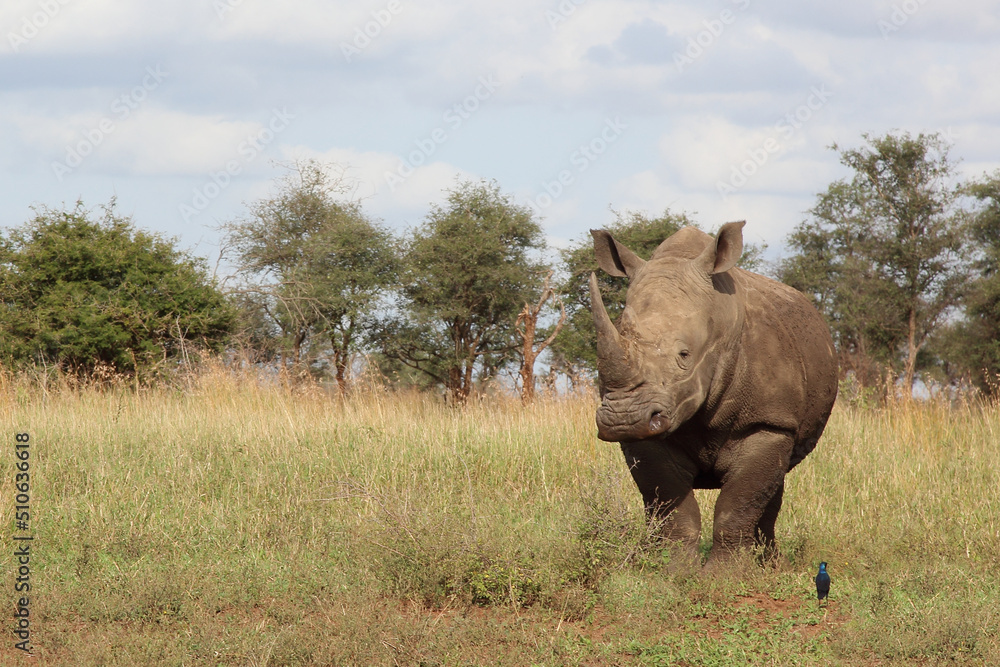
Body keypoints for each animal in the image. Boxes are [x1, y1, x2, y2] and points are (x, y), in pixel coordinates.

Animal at [589, 221, 838, 568]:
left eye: (684, 355)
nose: (623, 419)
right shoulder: (647, 433)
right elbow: (669, 500)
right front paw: (673, 569)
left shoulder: (769, 423)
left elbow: (739, 502)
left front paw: (726, 574)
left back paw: (771, 565)